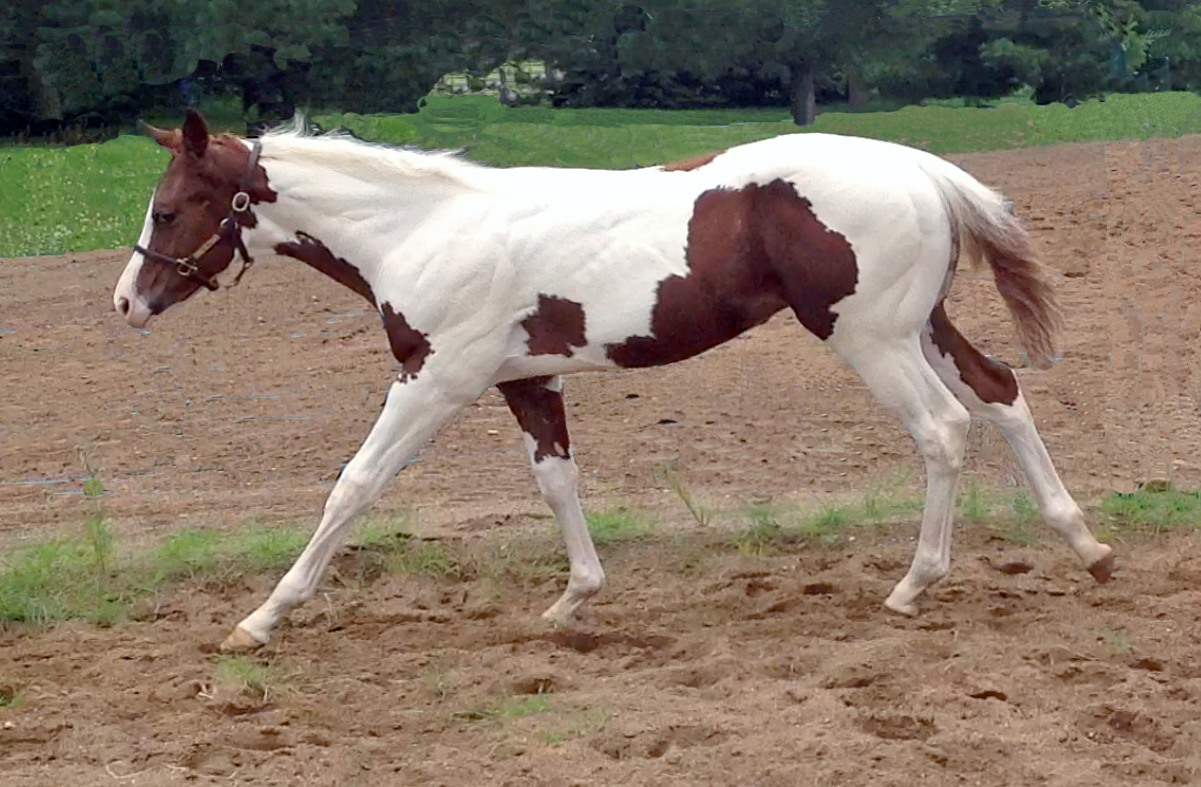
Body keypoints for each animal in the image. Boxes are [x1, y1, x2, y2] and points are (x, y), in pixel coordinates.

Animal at [114, 110, 1114, 653]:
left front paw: (259, 619)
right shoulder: (525, 382)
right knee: (1000, 391)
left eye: (170, 208)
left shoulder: (434, 380)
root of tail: (919, 165)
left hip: (870, 337)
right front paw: (572, 601)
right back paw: (1086, 545)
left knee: (943, 429)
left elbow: (354, 485)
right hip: (921, 326)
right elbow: (557, 479)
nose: (127, 300)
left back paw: (913, 586)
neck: (423, 229)